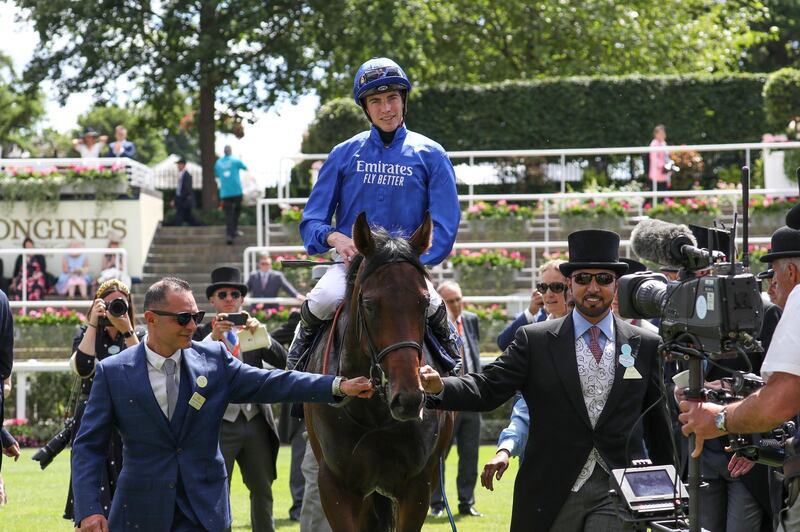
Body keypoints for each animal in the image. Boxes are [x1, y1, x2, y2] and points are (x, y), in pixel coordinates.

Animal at [306, 212, 454, 532]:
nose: (408, 398)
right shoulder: (335, 486)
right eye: (369, 304)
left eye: (424, 302)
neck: (374, 413)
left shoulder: (417, 485)